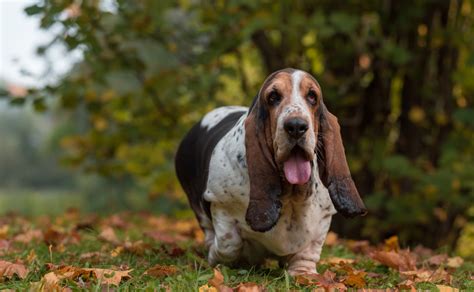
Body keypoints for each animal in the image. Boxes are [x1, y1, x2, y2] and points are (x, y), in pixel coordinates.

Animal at [175, 68, 366, 276]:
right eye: (273, 97)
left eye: (312, 96)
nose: (296, 126)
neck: (291, 195)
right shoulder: (219, 204)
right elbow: (229, 243)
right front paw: (220, 257)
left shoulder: (324, 218)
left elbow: (309, 250)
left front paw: (303, 273)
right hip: (196, 203)